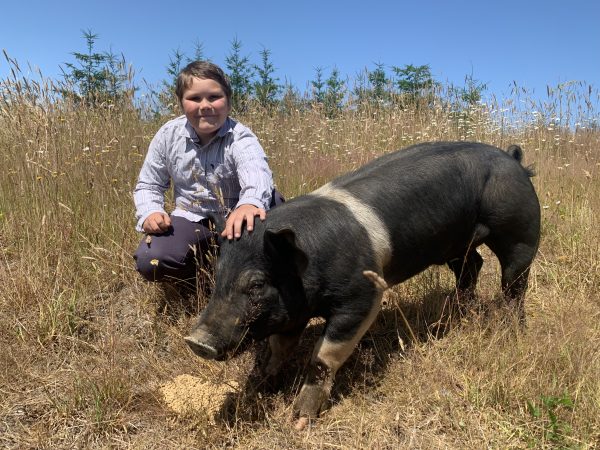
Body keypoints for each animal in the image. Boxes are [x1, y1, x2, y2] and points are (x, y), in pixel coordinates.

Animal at [183, 142, 540, 426]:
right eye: (218, 275)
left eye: (256, 284)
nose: (196, 341)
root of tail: (513, 159)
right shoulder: (292, 310)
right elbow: (278, 348)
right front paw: (261, 387)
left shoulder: (363, 295)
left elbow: (324, 355)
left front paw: (300, 421)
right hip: (457, 243)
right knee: (472, 266)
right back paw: (458, 309)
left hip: (520, 228)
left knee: (514, 281)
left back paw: (512, 328)